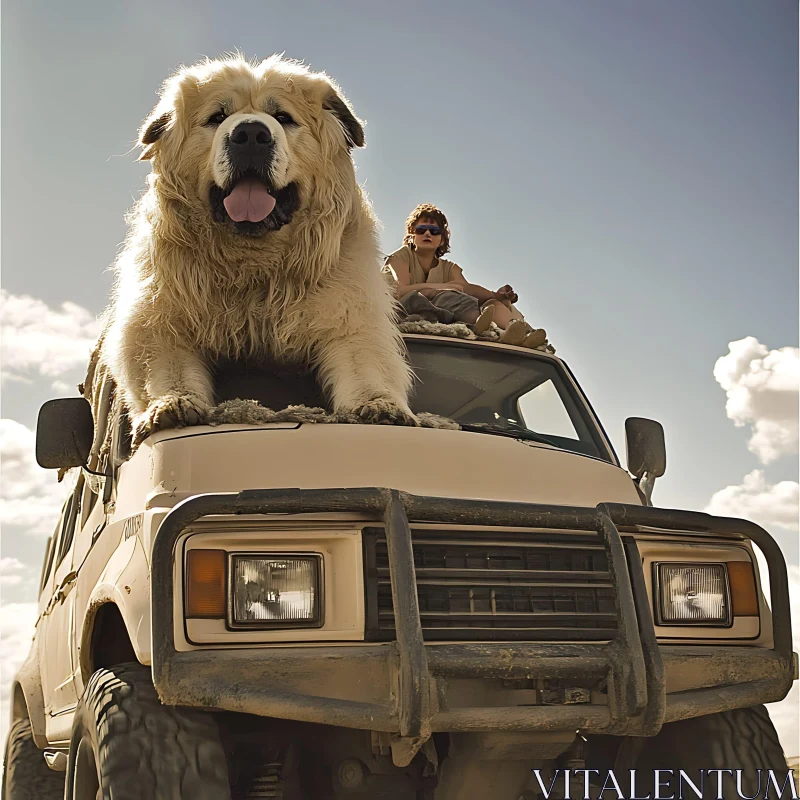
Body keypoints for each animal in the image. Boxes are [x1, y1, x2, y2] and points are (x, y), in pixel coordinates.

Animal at [97, 54, 416, 444]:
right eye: (217, 117)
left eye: (283, 117)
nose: (250, 134)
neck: (254, 268)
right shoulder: (159, 316)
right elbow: (164, 365)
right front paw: (172, 404)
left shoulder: (349, 313)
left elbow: (367, 364)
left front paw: (380, 406)